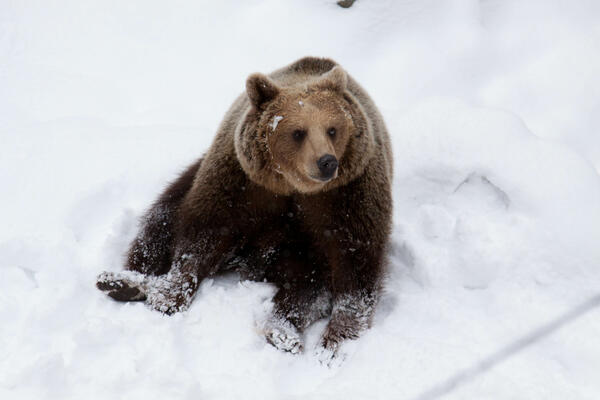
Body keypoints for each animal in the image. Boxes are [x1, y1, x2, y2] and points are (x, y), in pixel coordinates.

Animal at [96, 56, 392, 360]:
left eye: (332, 129)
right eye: (298, 132)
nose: (326, 162)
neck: (292, 186)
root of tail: (252, 264)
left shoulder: (346, 195)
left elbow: (355, 264)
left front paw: (335, 342)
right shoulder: (241, 180)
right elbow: (204, 231)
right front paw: (167, 295)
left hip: (299, 245)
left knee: (308, 286)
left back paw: (281, 332)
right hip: (194, 179)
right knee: (160, 221)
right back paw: (124, 282)